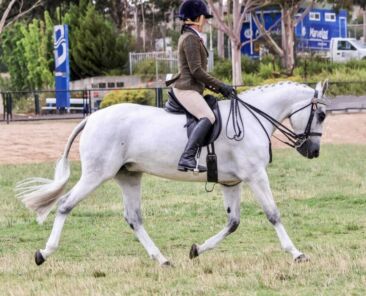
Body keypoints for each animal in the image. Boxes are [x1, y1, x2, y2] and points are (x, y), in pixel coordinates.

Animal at [16, 80, 328, 266]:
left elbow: (233, 223)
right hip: (96, 175)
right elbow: (273, 214)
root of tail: (92, 117)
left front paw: (196, 250)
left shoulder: (231, 181)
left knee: (133, 218)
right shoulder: (255, 175)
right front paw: (296, 253)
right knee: (64, 205)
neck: (253, 118)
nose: (313, 151)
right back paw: (44, 253)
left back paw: (162, 259)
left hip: (129, 176)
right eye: (322, 115)